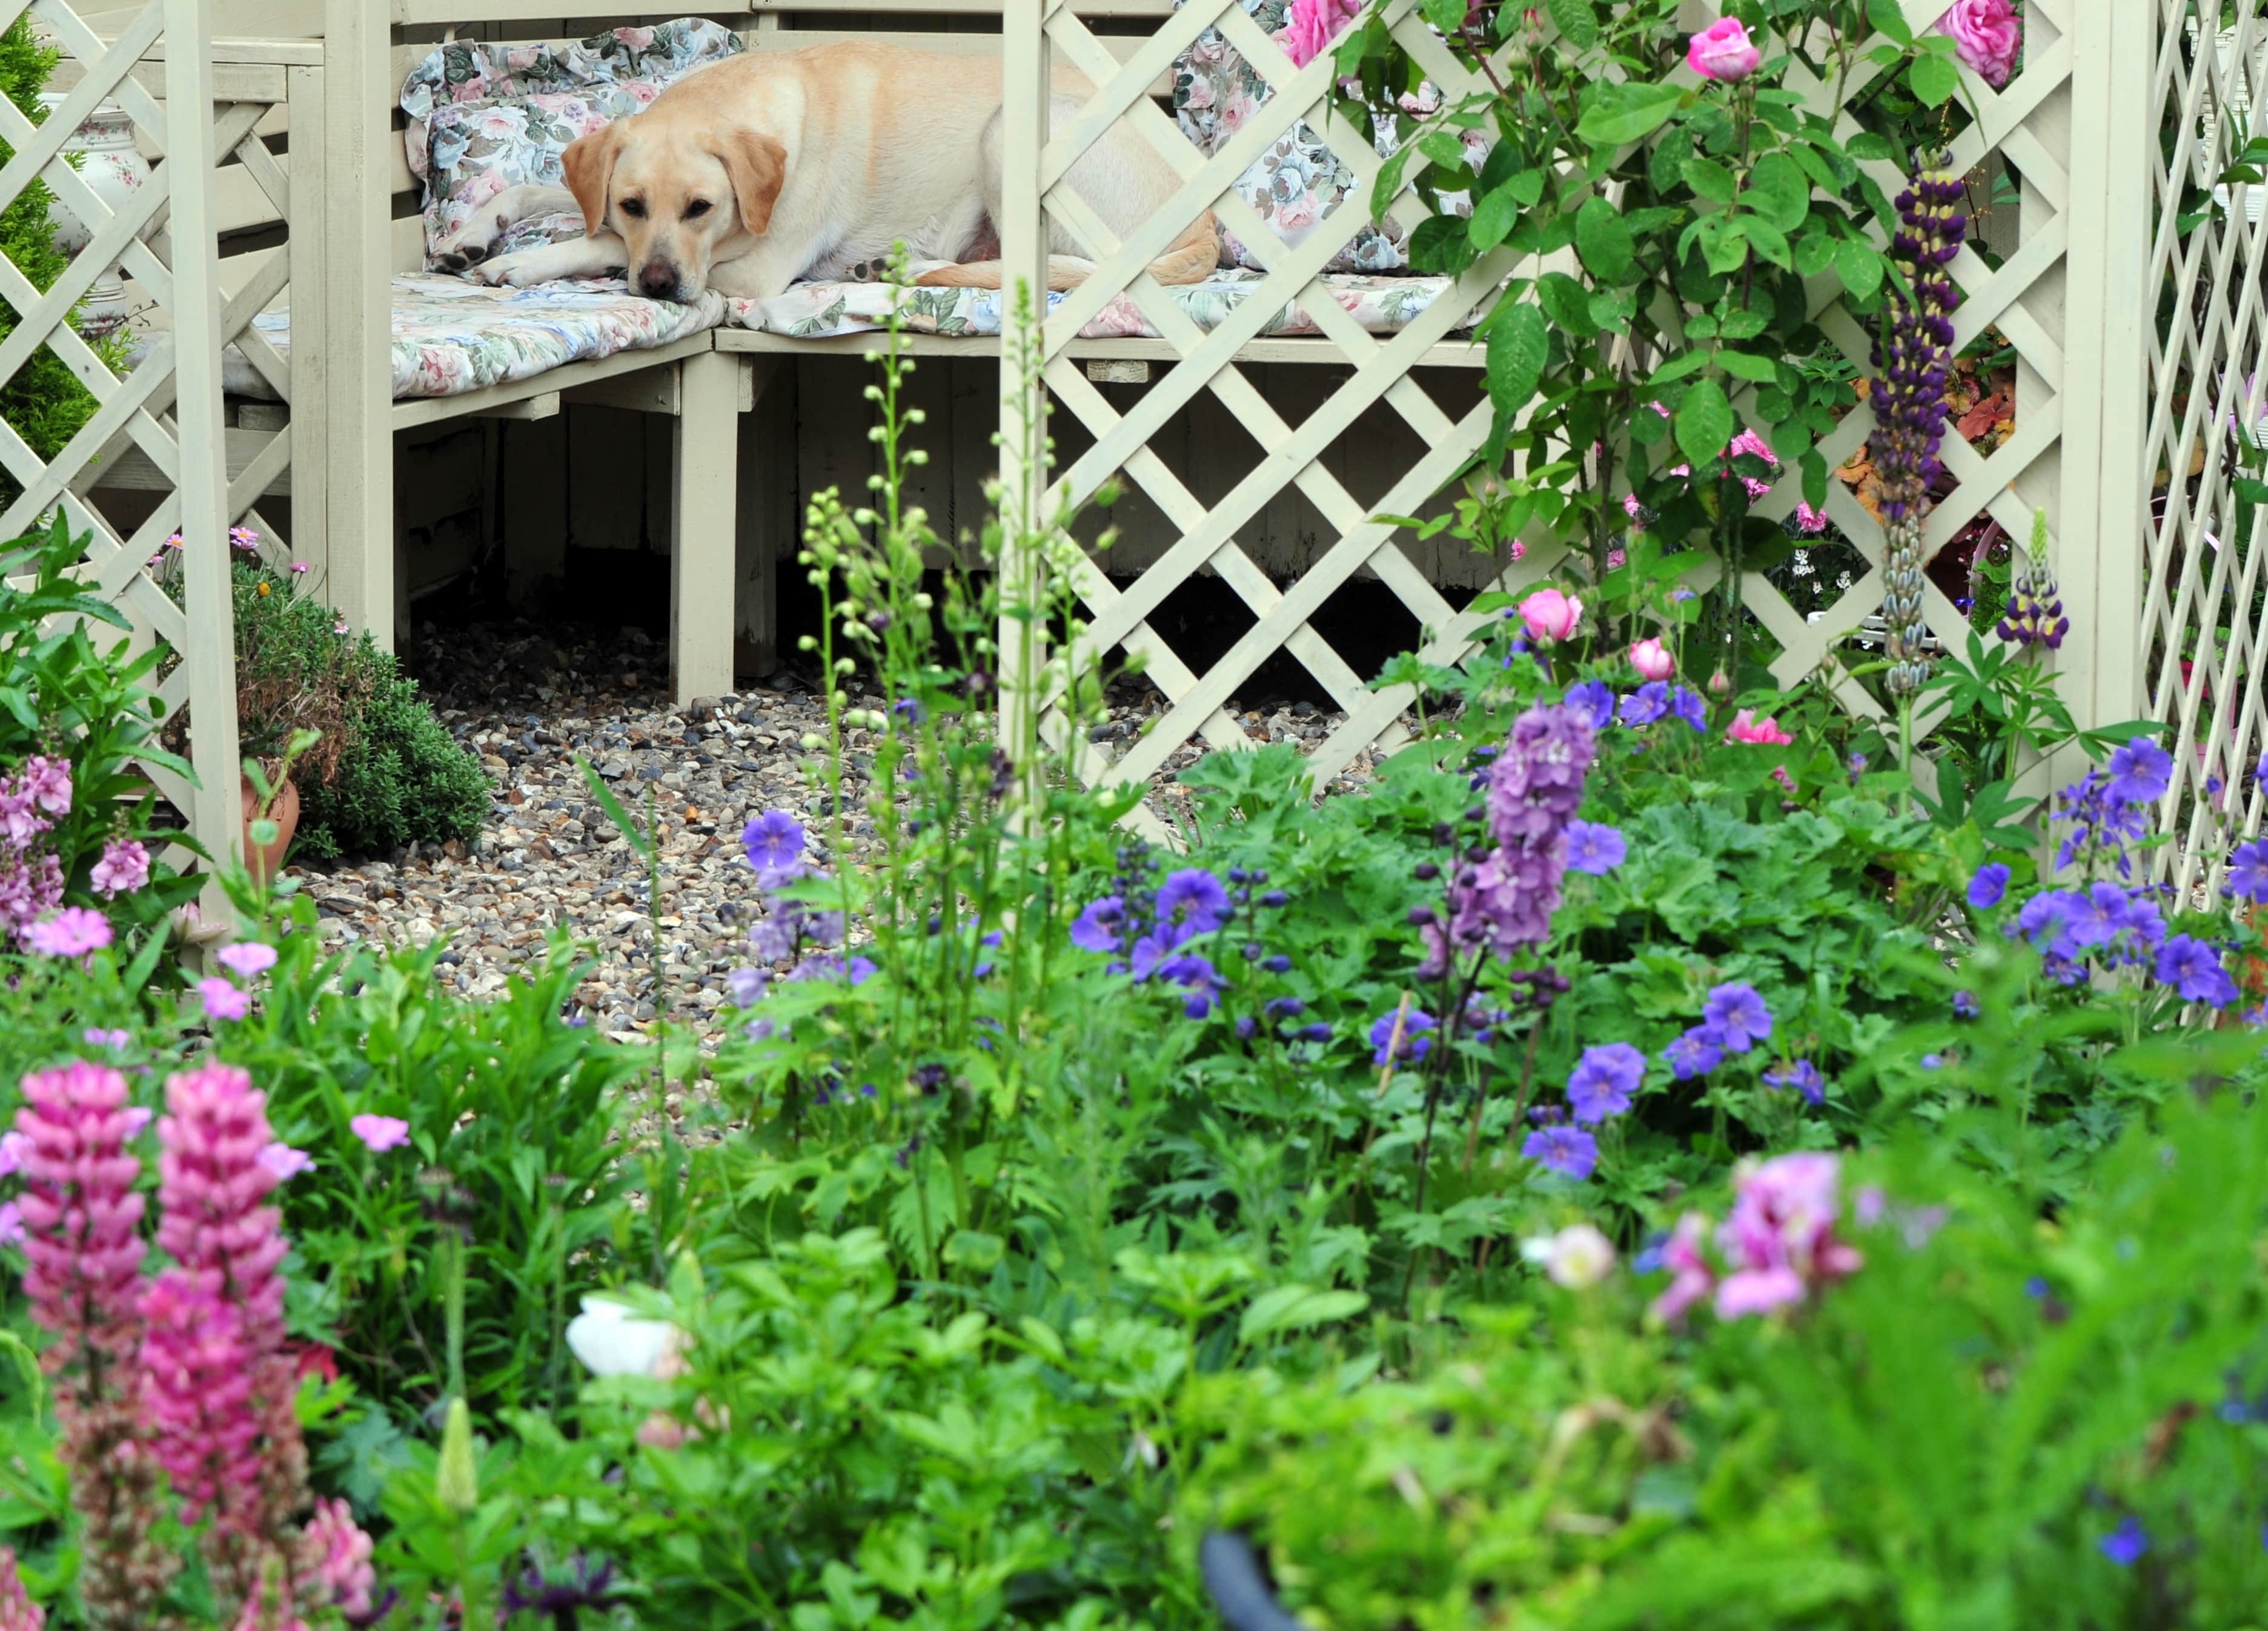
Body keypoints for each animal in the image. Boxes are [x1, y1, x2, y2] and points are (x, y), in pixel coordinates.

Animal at [449, 40, 1215, 304]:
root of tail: (1209, 220)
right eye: (634, 202)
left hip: (1008, 130)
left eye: (702, 208)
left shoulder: (751, 272)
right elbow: (548, 191)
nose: (661, 286)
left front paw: (519, 263)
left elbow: (602, 245)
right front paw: (475, 233)